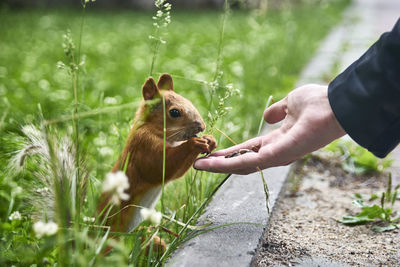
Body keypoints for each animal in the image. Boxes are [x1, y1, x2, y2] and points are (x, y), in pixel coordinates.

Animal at [98, 73, 217, 237]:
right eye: (174, 112)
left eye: (190, 101)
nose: (202, 126)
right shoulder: (144, 146)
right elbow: (160, 167)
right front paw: (195, 143)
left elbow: (175, 172)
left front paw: (210, 140)